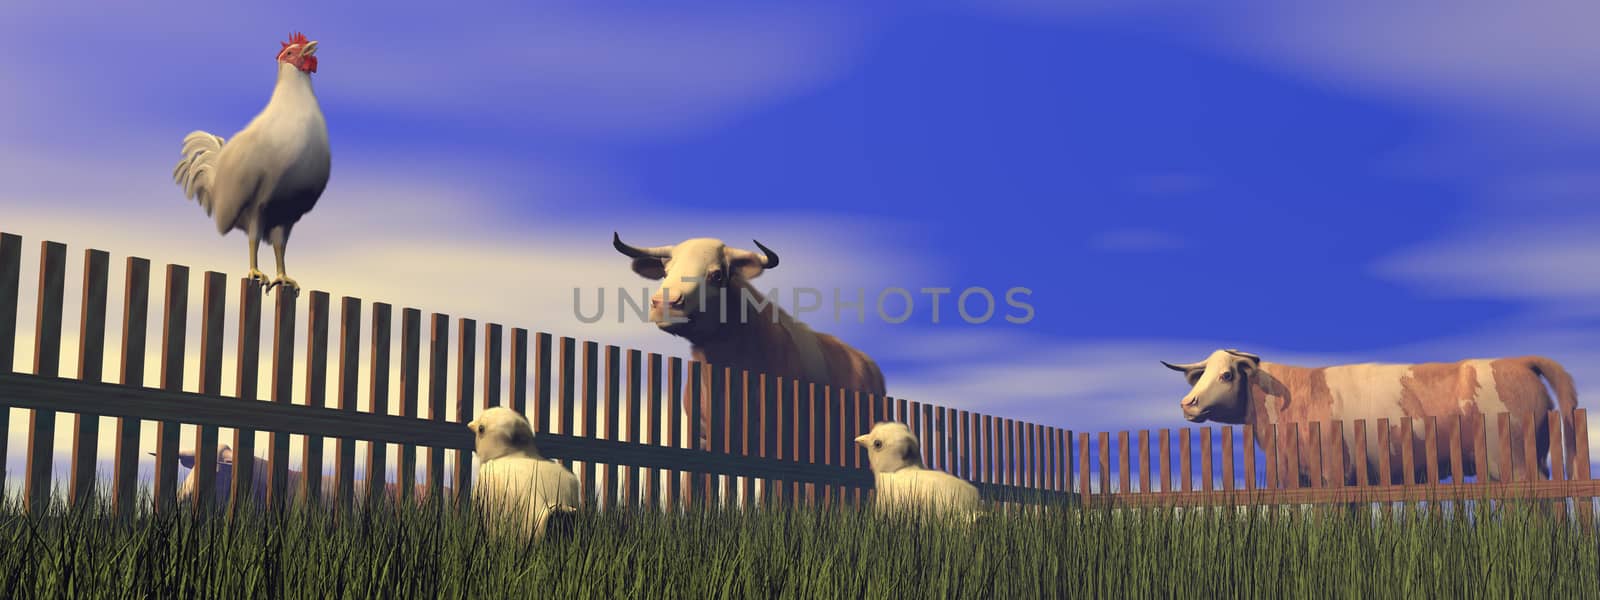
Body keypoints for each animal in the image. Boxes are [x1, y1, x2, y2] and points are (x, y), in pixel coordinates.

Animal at [1158, 350, 1580, 486]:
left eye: (1227, 375)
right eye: (1203, 373)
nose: (1187, 402)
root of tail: (1517, 361)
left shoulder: (1333, 475)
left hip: (1516, 464)